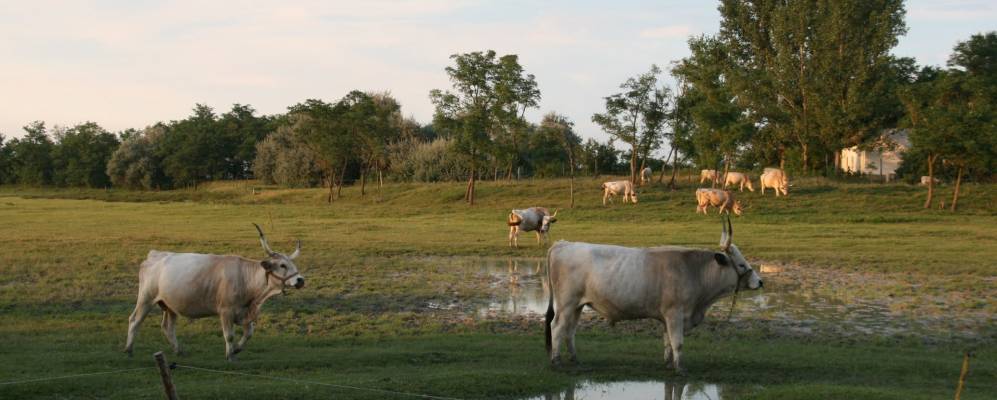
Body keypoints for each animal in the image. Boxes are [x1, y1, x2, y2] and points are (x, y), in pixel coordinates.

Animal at [124, 225, 304, 360]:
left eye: (293, 264)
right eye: (282, 265)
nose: (300, 280)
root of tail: (156, 254)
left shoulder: (245, 312)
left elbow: (249, 333)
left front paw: (236, 349)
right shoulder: (226, 311)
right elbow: (229, 335)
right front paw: (230, 355)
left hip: (170, 305)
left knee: (168, 327)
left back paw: (179, 351)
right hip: (146, 299)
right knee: (135, 320)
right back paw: (128, 350)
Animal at [544, 217, 764, 374]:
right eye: (741, 264)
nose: (760, 281)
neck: (694, 271)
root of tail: (562, 244)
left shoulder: (667, 316)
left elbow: (668, 341)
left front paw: (668, 363)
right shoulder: (675, 313)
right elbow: (678, 342)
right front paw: (680, 368)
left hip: (577, 305)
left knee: (570, 330)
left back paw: (574, 359)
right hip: (566, 304)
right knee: (557, 327)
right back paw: (556, 360)